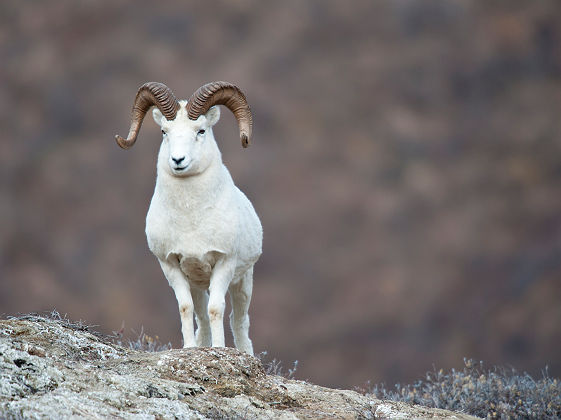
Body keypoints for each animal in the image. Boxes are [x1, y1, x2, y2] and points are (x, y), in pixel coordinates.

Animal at [115, 81, 262, 354]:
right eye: (164, 131)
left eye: (200, 130)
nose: (178, 160)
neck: (191, 218)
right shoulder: (171, 265)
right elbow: (186, 308)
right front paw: (190, 349)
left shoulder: (224, 263)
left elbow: (217, 310)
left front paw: (218, 349)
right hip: (197, 283)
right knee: (201, 317)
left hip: (243, 281)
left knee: (238, 320)